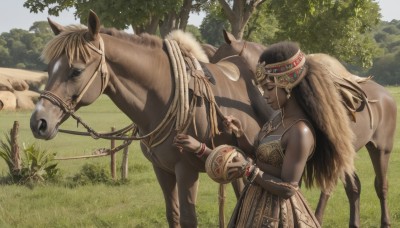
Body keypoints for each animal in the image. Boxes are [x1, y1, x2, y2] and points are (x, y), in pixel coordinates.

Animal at [29, 11, 276, 227]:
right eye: (48, 69)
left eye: (76, 71)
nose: (38, 122)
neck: (163, 96)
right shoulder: (162, 170)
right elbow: (173, 215)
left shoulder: (186, 170)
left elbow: (189, 219)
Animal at [211, 29, 396, 227]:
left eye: (221, 58)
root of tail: (386, 96)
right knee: (354, 188)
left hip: (381, 149)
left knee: (381, 186)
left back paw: (385, 222)